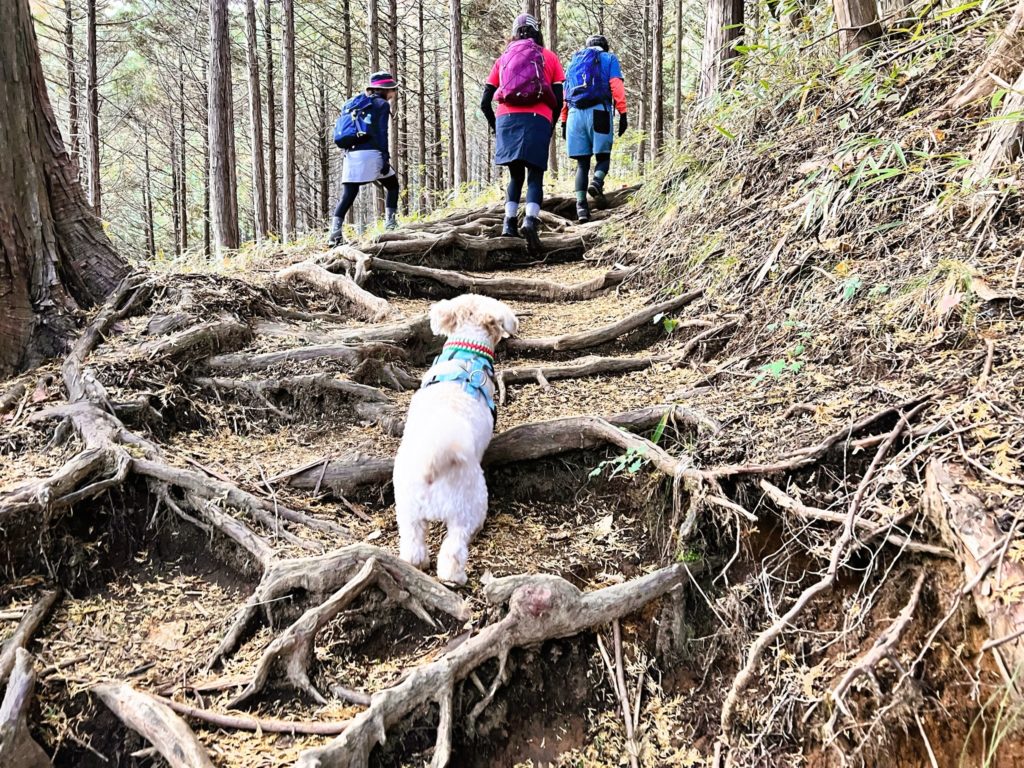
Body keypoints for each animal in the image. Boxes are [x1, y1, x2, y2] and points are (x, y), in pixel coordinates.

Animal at [393, 294, 518, 584]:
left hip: (407, 509)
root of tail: (432, 462)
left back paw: (416, 563)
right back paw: (455, 577)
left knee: (413, 544)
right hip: (468, 507)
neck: (467, 354)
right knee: (454, 549)